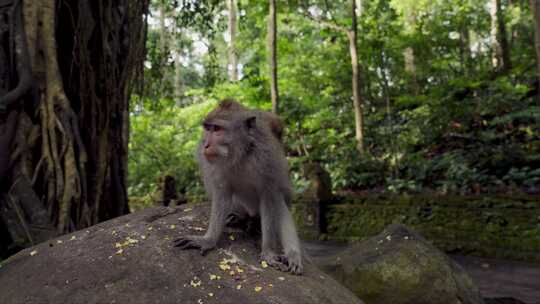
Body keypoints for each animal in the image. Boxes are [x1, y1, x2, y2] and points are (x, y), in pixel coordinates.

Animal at [177, 98, 304, 274]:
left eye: (217, 129)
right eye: (208, 129)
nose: (206, 145)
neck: (241, 154)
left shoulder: (267, 159)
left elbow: (269, 195)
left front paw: (268, 251)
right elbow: (222, 193)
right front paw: (208, 240)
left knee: (278, 203)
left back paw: (292, 255)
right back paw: (240, 218)